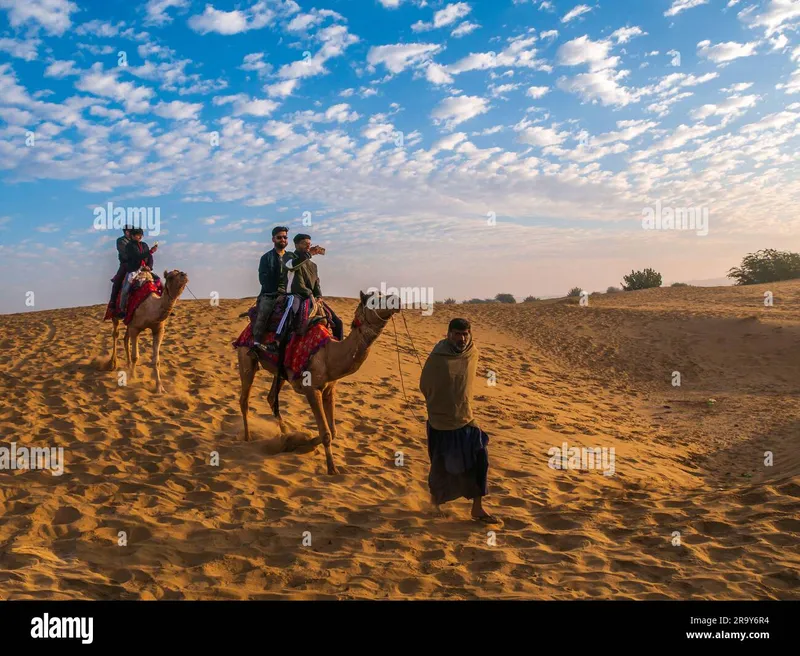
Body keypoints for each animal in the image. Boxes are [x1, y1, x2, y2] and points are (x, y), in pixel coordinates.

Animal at [236, 290, 400, 472]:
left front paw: (303, 442)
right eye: (373, 301)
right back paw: (248, 437)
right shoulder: (312, 389)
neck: (328, 354)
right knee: (244, 399)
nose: (397, 300)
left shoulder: (329, 389)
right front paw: (332, 469)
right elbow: (326, 433)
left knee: (271, 397)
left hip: (280, 373)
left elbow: (333, 431)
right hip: (245, 357)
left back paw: (286, 434)